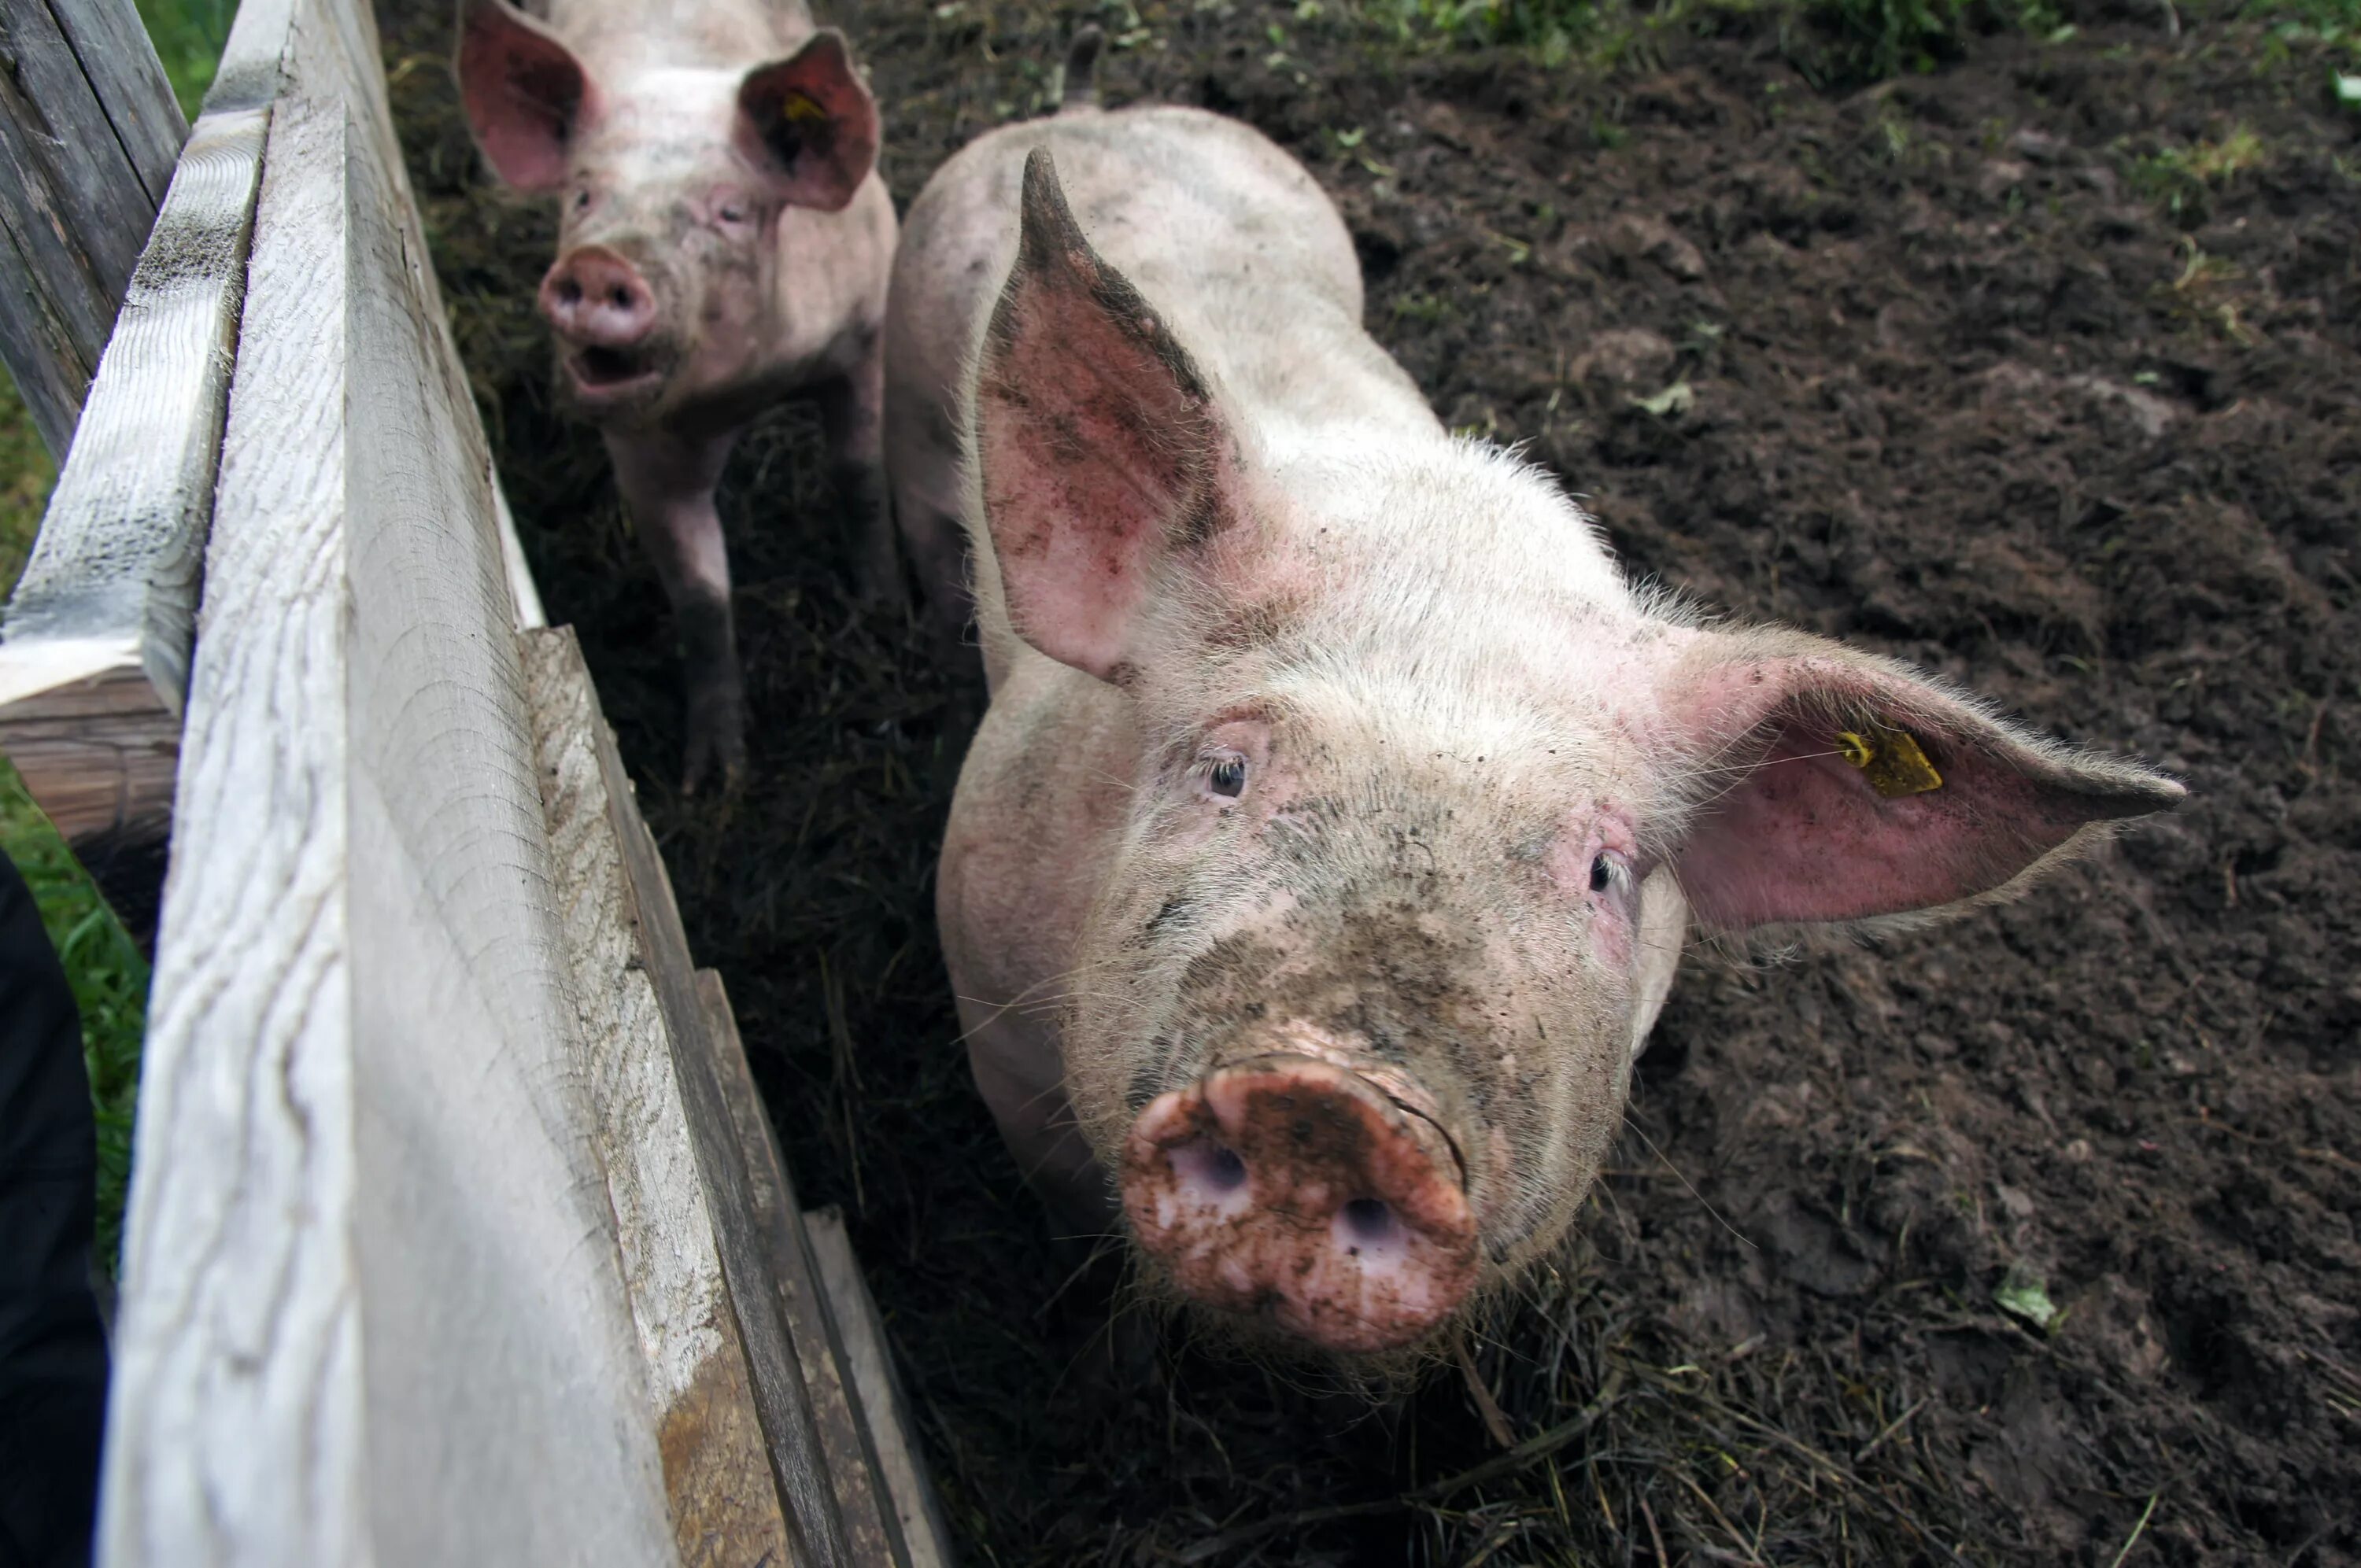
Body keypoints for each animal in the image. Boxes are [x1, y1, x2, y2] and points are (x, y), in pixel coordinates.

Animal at [456, 0, 897, 788]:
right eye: (584, 195)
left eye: (730, 211)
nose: (601, 264)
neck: (748, 391)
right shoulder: (640, 443)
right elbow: (698, 591)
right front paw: (716, 781)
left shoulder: (864, 330)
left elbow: (859, 474)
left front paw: (882, 610)